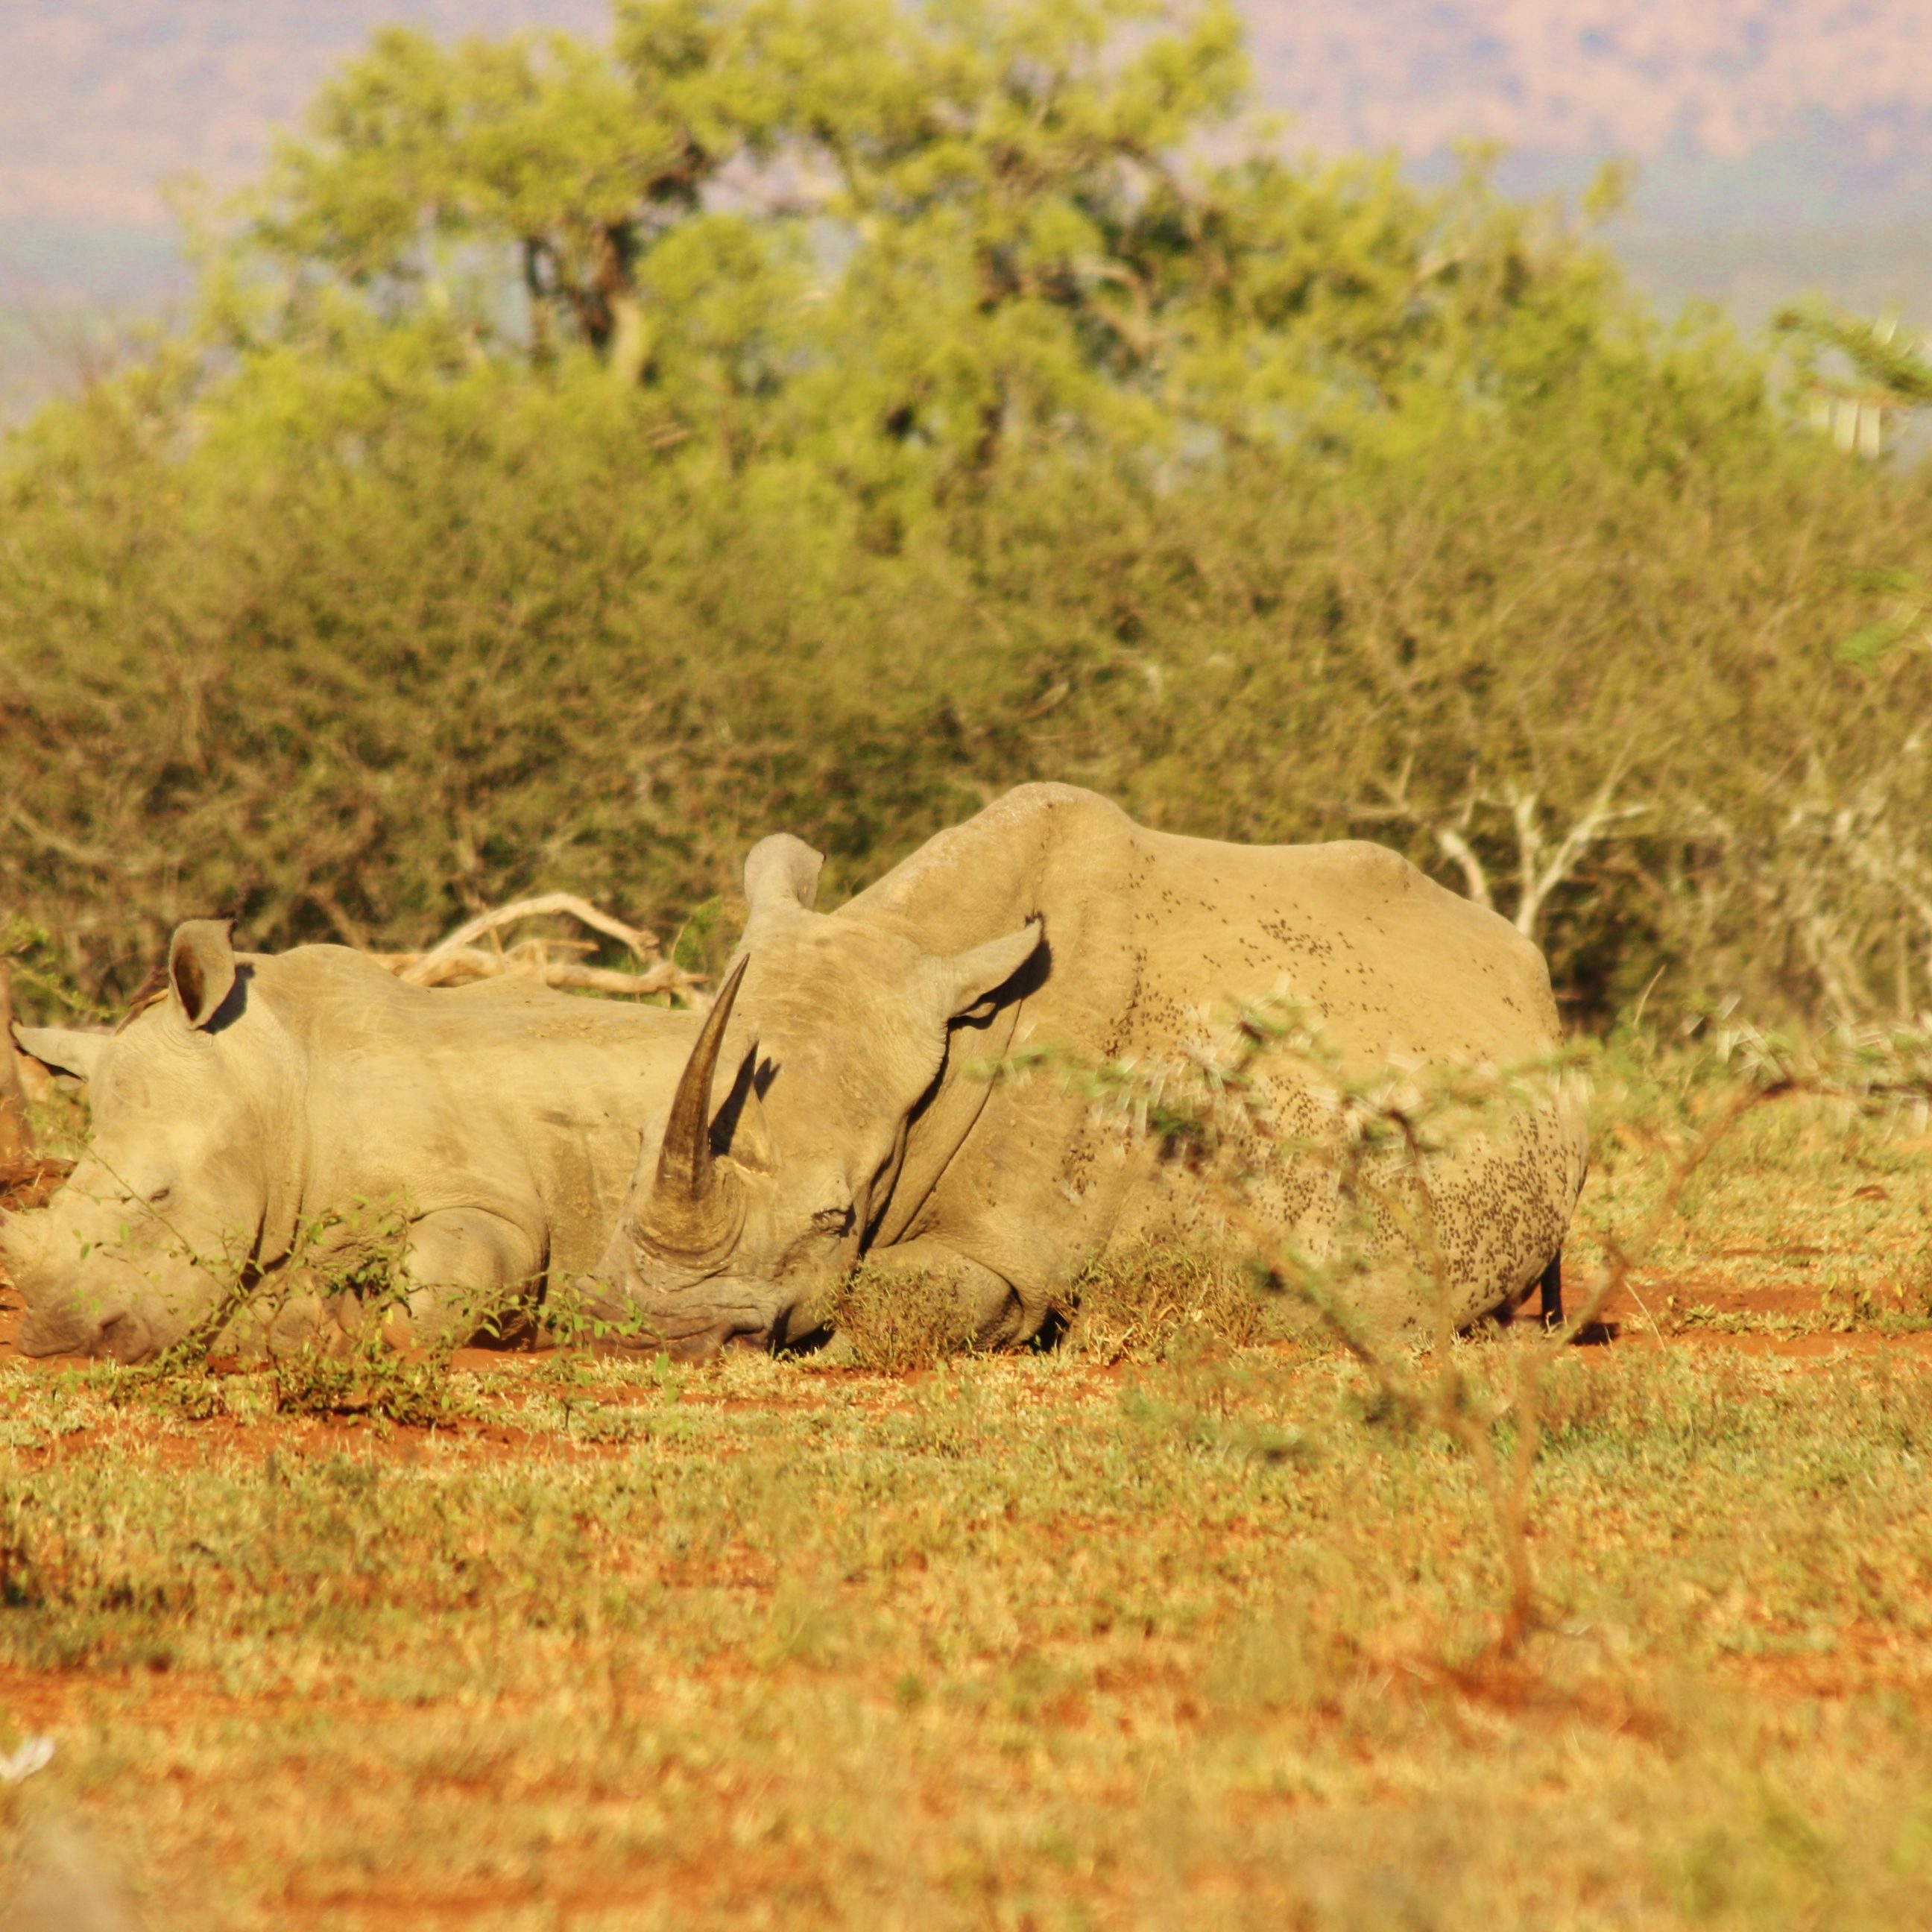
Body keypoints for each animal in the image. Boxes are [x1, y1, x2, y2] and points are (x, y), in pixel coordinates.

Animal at [4, 915, 699, 1360]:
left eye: (161, 1195)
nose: (55, 1340)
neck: (271, 1088)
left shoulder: (494, 1199)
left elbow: (443, 1277)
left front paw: (342, 1323)